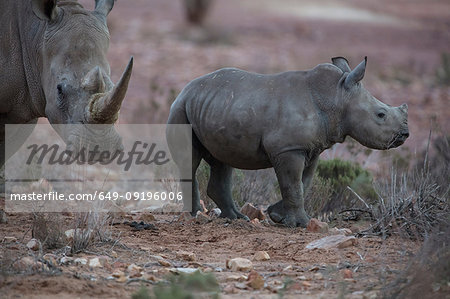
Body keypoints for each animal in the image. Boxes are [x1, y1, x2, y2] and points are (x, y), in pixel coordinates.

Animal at [167, 57, 410, 229]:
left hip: (215, 108)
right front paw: (300, 224)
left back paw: (237, 218)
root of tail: (184, 90)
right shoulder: (288, 149)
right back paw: (194, 215)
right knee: (191, 161)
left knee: (223, 161)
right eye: (381, 115)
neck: (336, 97)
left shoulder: (312, 148)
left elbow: (303, 182)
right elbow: (293, 185)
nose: (405, 135)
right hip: (181, 110)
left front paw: (277, 215)